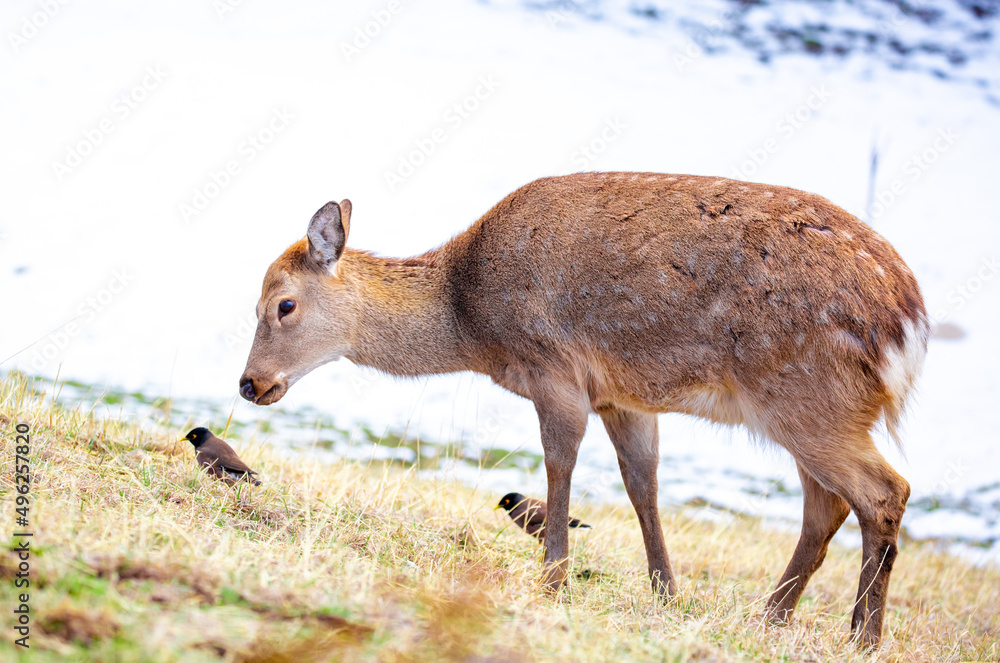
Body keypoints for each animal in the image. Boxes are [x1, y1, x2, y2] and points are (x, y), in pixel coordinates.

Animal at [239, 172, 927, 649]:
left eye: (282, 305)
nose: (250, 384)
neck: (474, 326)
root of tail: (908, 323)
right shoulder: (621, 395)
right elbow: (642, 482)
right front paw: (665, 592)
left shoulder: (555, 367)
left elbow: (560, 463)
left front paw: (552, 579)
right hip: (813, 410)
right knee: (827, 506)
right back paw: (772, 617)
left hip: (806, 398)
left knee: (884, 491)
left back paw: (862, 637)